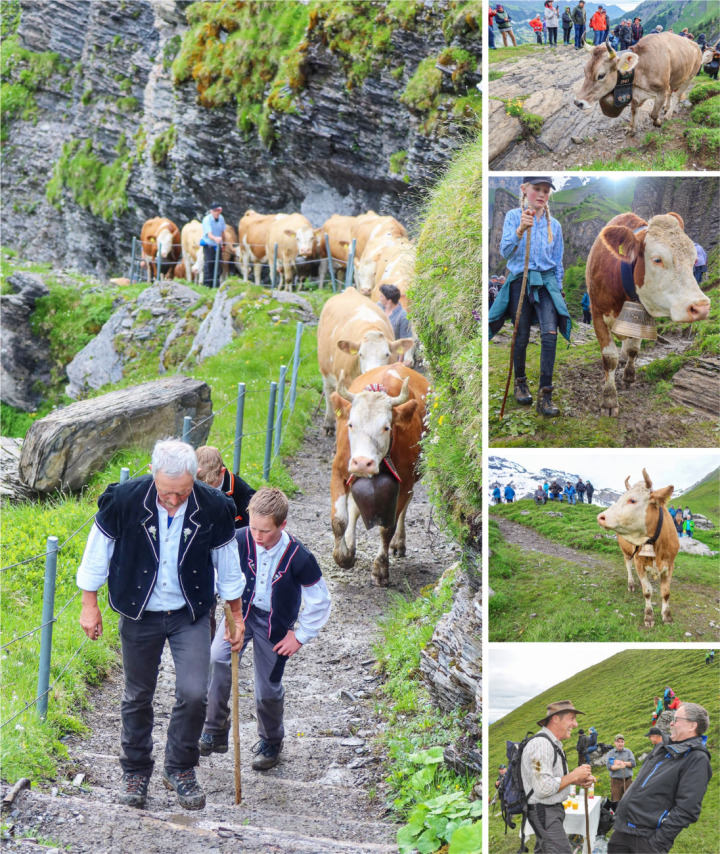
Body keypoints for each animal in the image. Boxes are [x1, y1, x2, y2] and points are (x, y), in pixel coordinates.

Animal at [330, 362, 428, 588]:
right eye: (351, 424)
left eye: (386, 427)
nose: (362, 463)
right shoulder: (339, 471)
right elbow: (339, 520)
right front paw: (343, 556)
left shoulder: (405, 481)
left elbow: (387, 527)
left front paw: (381, 570)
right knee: (354, 508)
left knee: (405, 507)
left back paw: (398, 543)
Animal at [572, 34, 704, 134]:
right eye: (585, 70)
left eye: (601, 75)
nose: (578, 102)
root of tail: (695, 44)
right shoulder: (635, 93)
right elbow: (634, 111)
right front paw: (631, 128)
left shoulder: (662, 91)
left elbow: (653, 114)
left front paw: (658, 123)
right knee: (671, 93)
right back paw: (666, 108)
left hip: (689, 77)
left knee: (677, 96)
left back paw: (668, 115)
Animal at [588, 211, 712, 418]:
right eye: (657, 259)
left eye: (694, 260)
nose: (701, 307)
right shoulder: (597, 313)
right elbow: (610, 358)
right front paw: (609, 400)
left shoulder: (642, 315)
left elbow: (634, 350)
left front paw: (629, 377)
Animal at [600, 468, 676, 628]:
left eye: (632, 500)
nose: (600, 517)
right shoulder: (639, 562)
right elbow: (647, 591)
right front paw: (649, 616)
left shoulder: (670, 564)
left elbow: (666, 592)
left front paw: (667, 616)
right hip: (626, 552)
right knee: (628, 565)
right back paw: (631, 584)